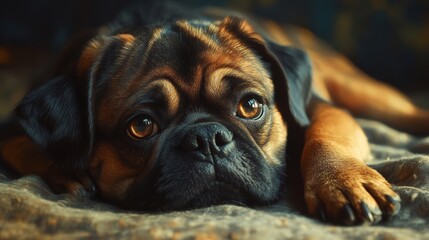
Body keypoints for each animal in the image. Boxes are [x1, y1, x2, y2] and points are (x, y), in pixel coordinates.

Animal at [1, 1, 426, 225]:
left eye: (250, 106)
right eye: (142, 127)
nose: (207, 138)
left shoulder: (318, 108)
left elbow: (324, 138)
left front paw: (342, 180)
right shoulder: (12, 127)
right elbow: (25, 147)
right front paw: (67, 171)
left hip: (358, 89)